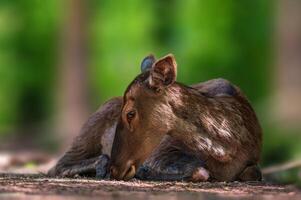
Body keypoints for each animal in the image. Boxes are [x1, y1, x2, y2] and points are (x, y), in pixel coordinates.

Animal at [48, 54, 262, 182]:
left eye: (130, 113)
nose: (116, 169)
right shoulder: (163, 149)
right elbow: (201, 171)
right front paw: (145, 171)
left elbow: (254, 172)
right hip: (88, 131)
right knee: (59, 164)